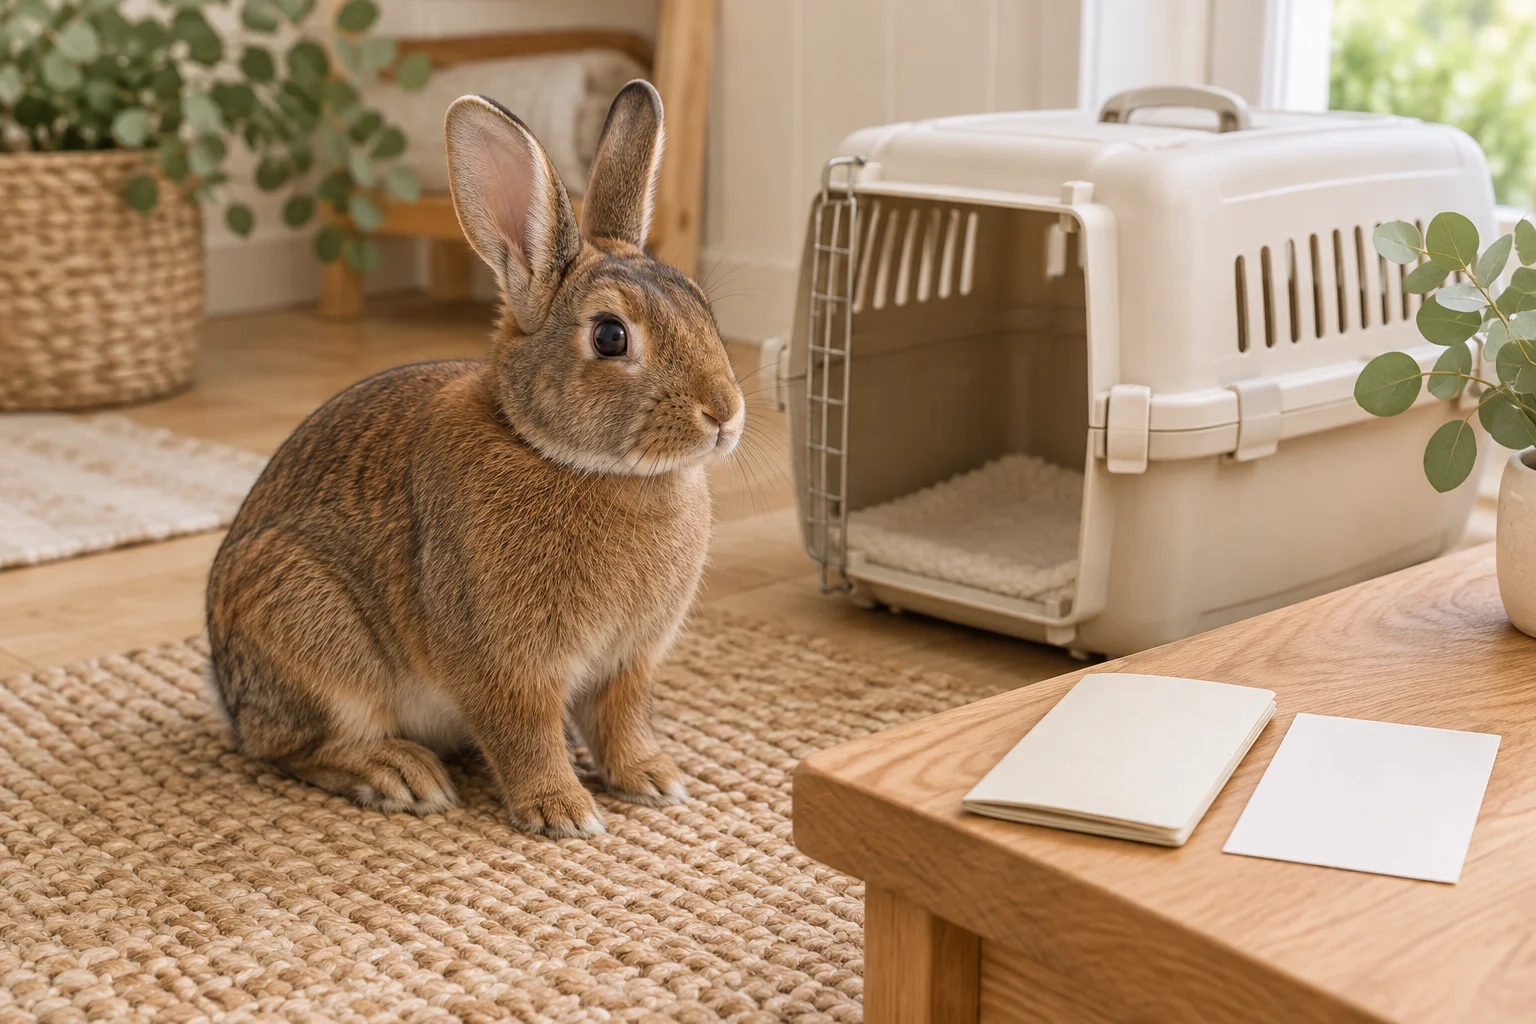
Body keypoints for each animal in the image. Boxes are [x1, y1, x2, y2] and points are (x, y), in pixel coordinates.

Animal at [204, 81, 744, 839]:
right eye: (610, 337)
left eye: (700, 305)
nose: (724, 412)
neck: (561, 455)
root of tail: (228, 691)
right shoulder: (504, 666)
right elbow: (526, 735)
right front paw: (562, 812)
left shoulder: (629, 662)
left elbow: (621, 720)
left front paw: (652, 778)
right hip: (307, 627)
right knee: (295, 746)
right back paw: (400, 775)